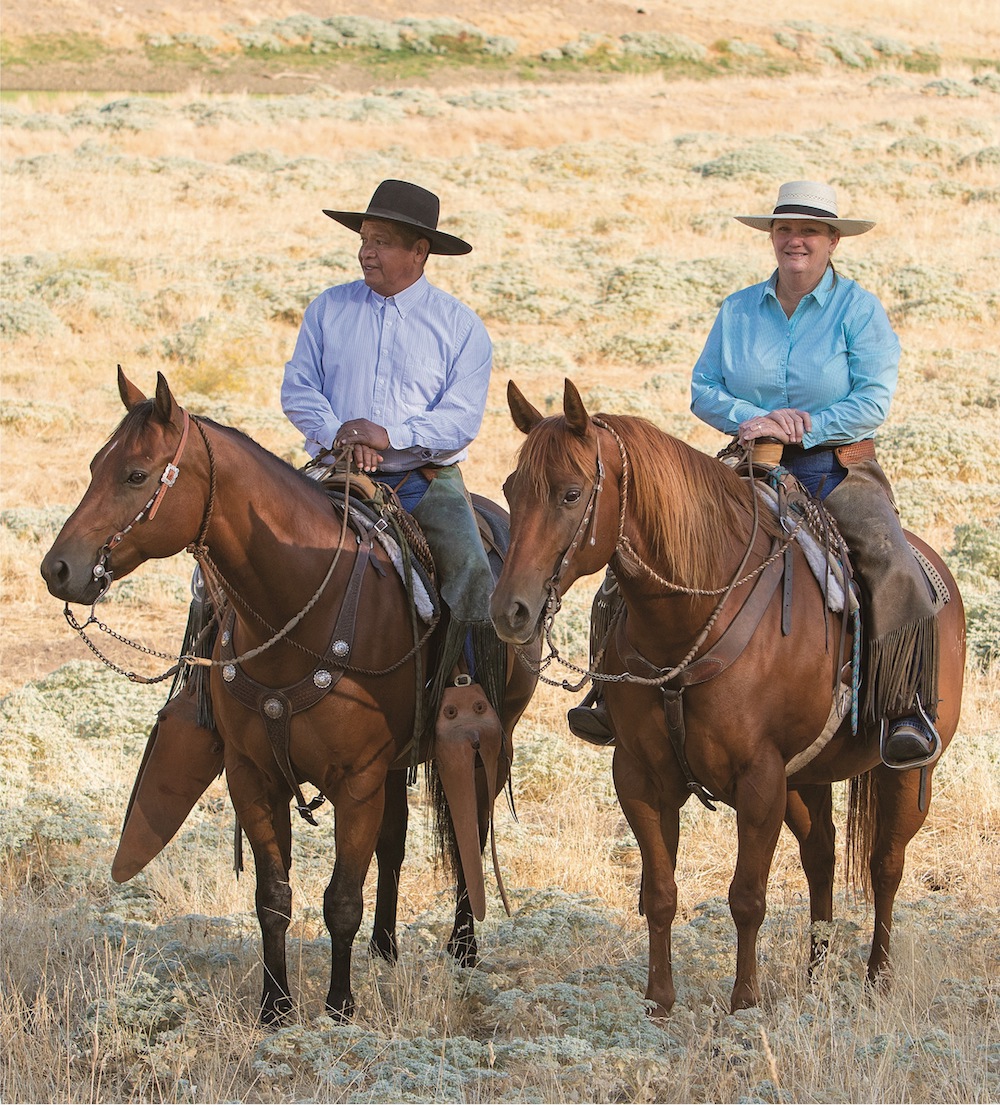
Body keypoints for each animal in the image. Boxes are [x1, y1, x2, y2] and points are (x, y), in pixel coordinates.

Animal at [40, 368, 538, 1023]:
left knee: (467, 834)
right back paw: (385, 947)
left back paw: (462, 947)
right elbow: (273, 896)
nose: (59, 569)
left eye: (137, 475)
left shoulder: (357, 779)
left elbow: (341, 899)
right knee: (395, 843)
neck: (298, 608)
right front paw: (275, 1008)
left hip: (488, 743)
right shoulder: (253, 775)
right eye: (97, 465)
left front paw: (339, 1009)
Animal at [490, 378, 966, 1017]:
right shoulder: (639, 777)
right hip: (806, 778)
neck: (691, 619)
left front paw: (744, 1005)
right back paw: (813, 976)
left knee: (885, 865)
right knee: (821, 857)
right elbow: (660, 892)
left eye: (570, 493)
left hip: (909, 771)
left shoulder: (759, 779)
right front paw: (659, 1004)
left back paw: (877, 981)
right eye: (510, 489)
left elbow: (747, 897)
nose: (510, 611)